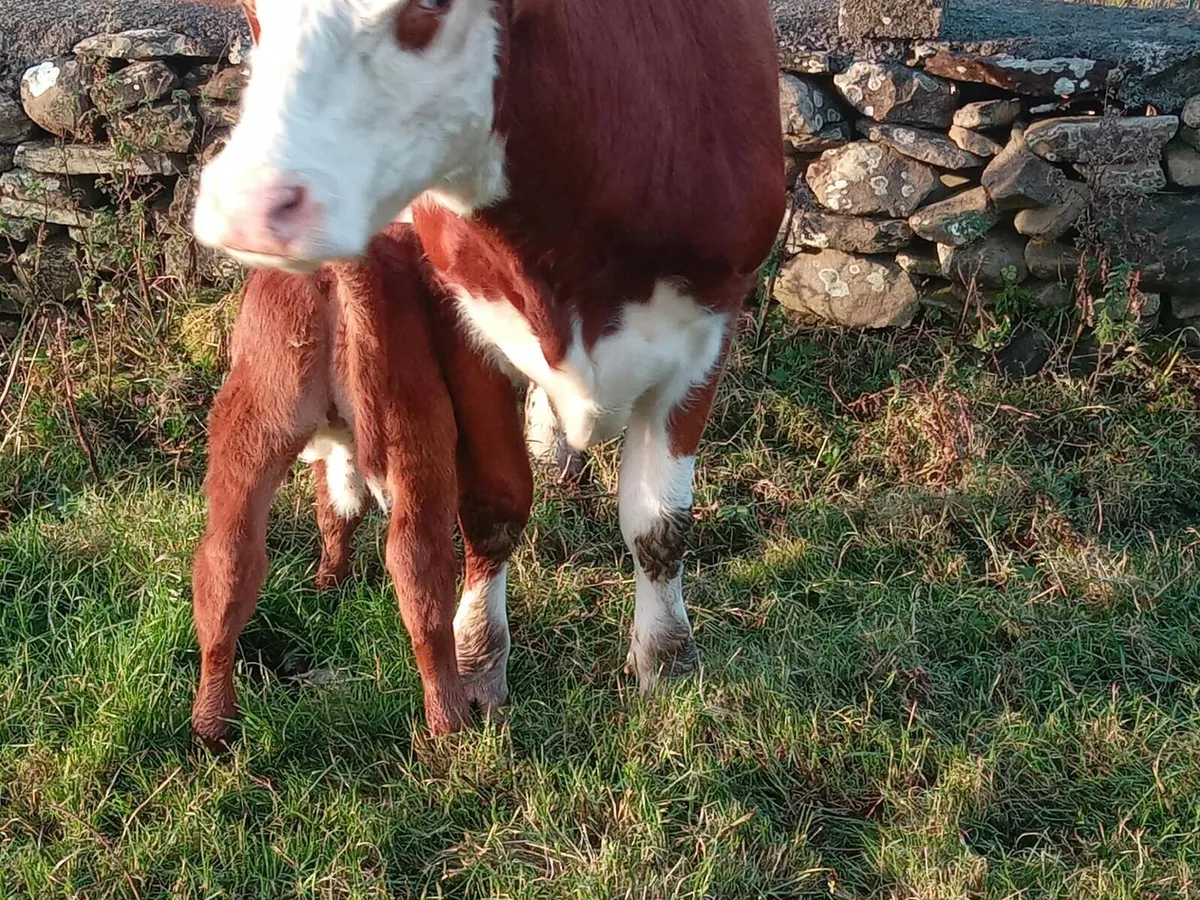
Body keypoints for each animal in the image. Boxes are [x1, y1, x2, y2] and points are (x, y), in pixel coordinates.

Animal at [191, 222, 532, 746]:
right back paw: (449, 723)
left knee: (229, 556)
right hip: (415, 422)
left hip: (255, 417)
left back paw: (211, 725)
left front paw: (328, 586)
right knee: (419, 561)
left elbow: (337, 508)